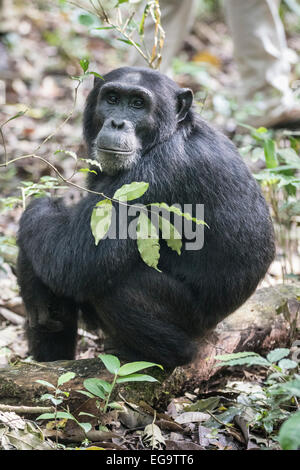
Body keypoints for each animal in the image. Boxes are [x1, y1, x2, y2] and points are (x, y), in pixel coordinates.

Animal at [15, 67, 274, 368]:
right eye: (113, 99)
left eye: (138, 104)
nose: (117, 123)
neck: (167, 135)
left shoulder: (155, 175)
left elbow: (74, 257)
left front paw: (36, 214)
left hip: (192, 322)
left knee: (119, 287)